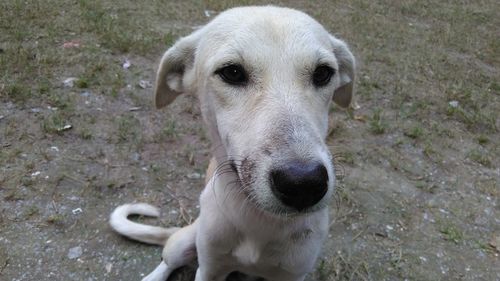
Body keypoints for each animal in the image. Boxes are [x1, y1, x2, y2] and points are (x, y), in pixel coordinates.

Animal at [110, 6, 354, 280]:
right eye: (232, 72)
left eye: (323, 73)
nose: (303, 184)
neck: (258, 220)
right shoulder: (209, 269)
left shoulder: (293, 273)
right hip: (185, 241)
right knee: (168, 261)